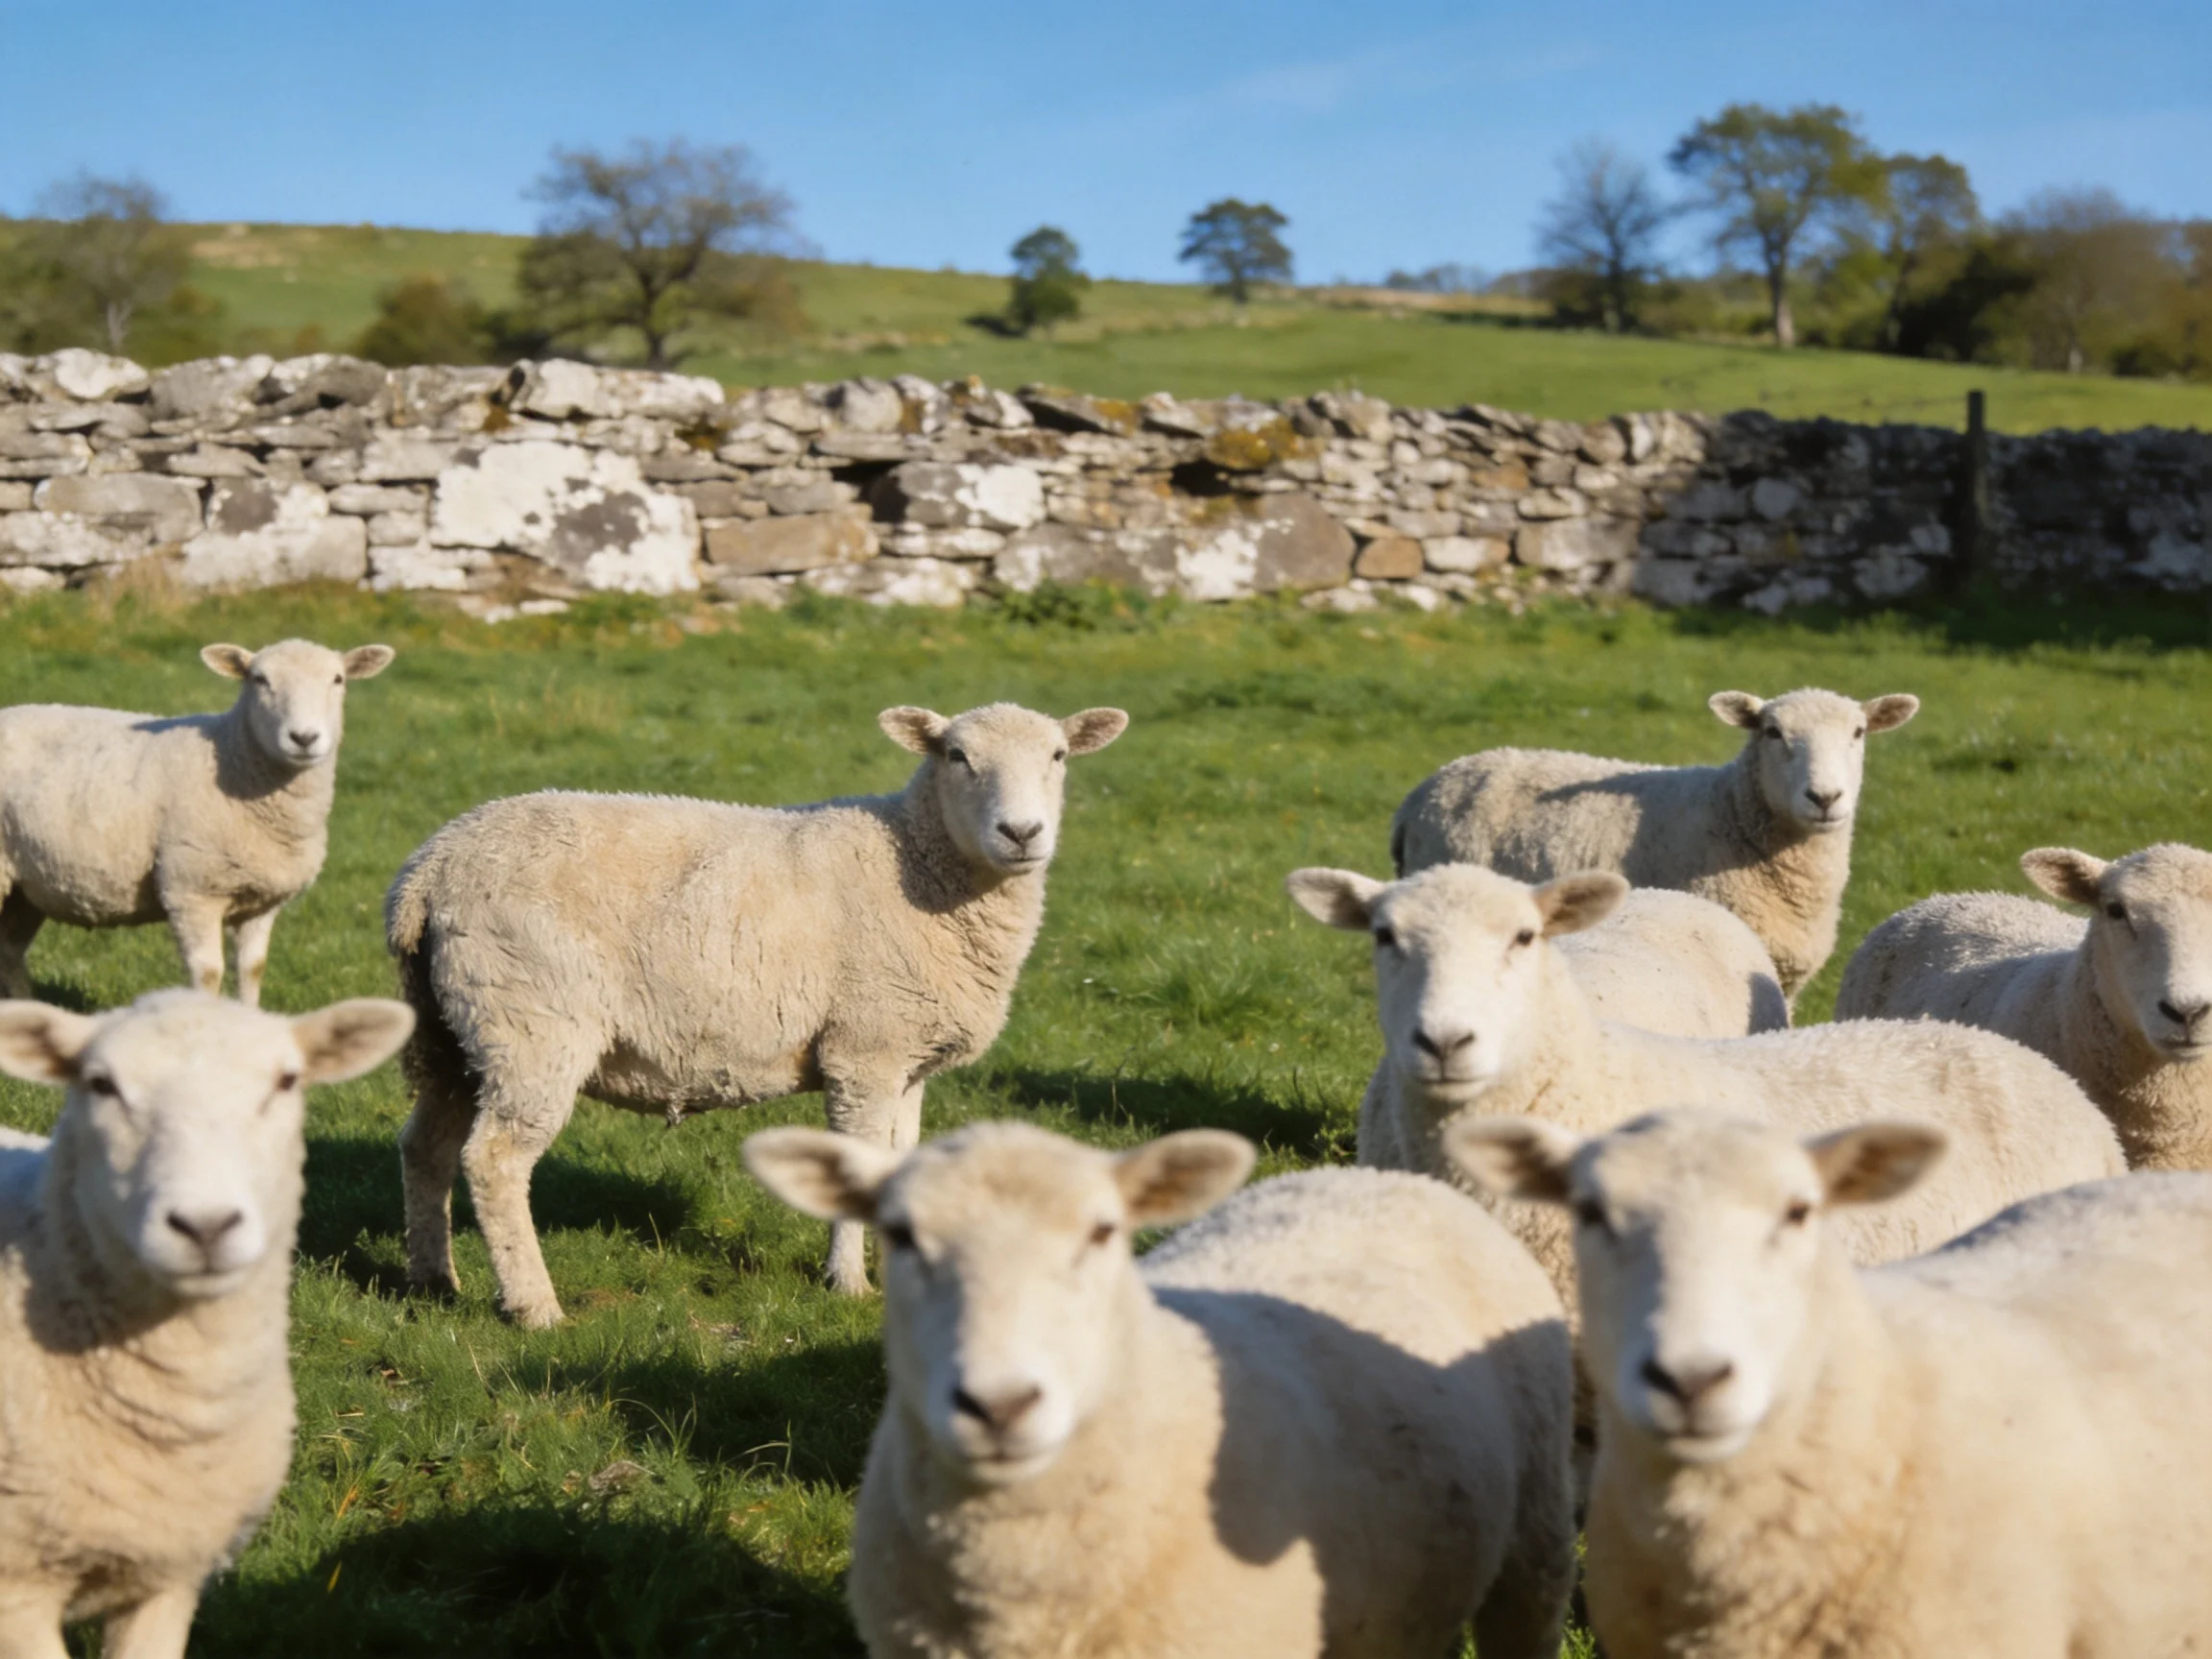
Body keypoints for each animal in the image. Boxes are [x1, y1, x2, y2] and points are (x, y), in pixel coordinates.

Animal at [0, 639, 396, 1006]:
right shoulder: (191, 889)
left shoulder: (261, 901)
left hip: (29, 884)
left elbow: (251, 969)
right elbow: (208, 972)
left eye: (338, 679)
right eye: (259, 680)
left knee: (10, 954)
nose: (304, 738)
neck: (231, 758)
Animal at [389, 701, 1128, 1324]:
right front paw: (848, 1283)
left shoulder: (907, 1054)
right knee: (495, 1160)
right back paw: (535, 1307)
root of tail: (430, 868)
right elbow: (861, 1168)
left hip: (449, 1028)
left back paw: (433, 1278)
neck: (917, 860)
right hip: (532, 1021)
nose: (1021, 832)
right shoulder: (864, 1048)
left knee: (426, 1147)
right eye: (956, 755)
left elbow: (902, 1166)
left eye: (1059, 755)